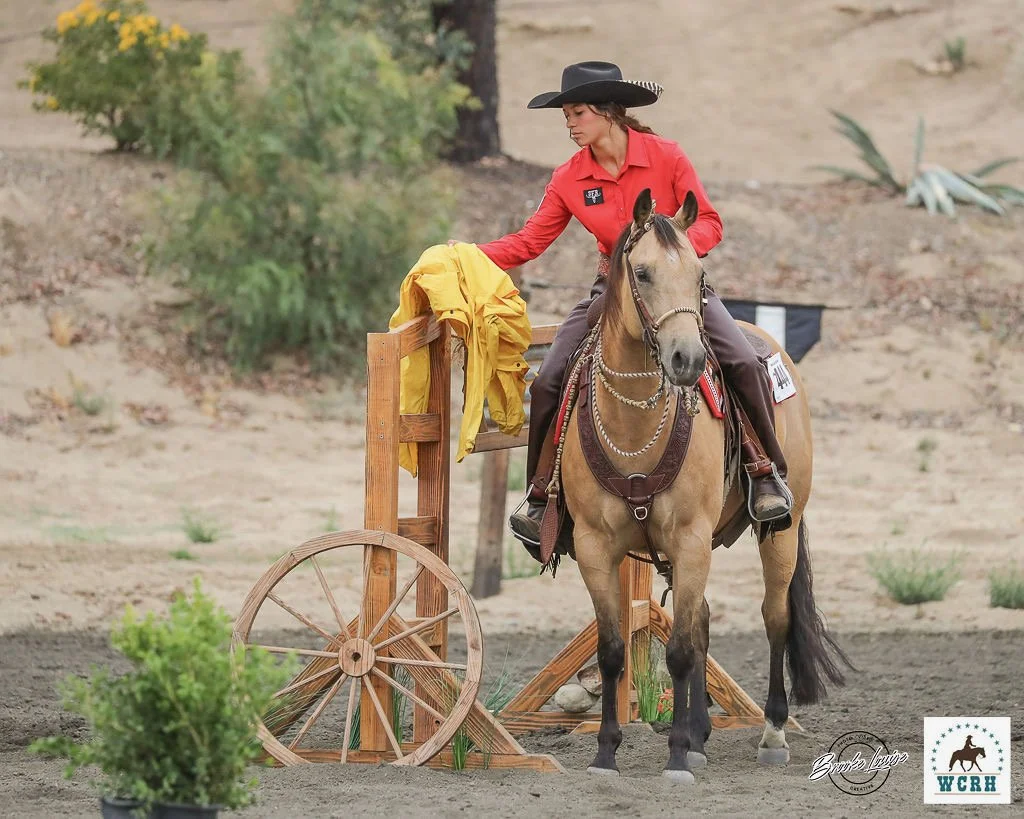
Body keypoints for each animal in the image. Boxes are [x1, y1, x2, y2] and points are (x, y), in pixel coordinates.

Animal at [559, 188, 850, 782]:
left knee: (773, 617)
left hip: (779, 533)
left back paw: (770, 733)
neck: (636, 425)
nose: (688, 358)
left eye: (699, 274)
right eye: (642, 272)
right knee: (700, 622)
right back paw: (697, 733)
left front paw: (675, 759)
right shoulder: (596, 547)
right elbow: (614, 650)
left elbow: (678, 652)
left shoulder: (690, 539)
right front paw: (607, 753)